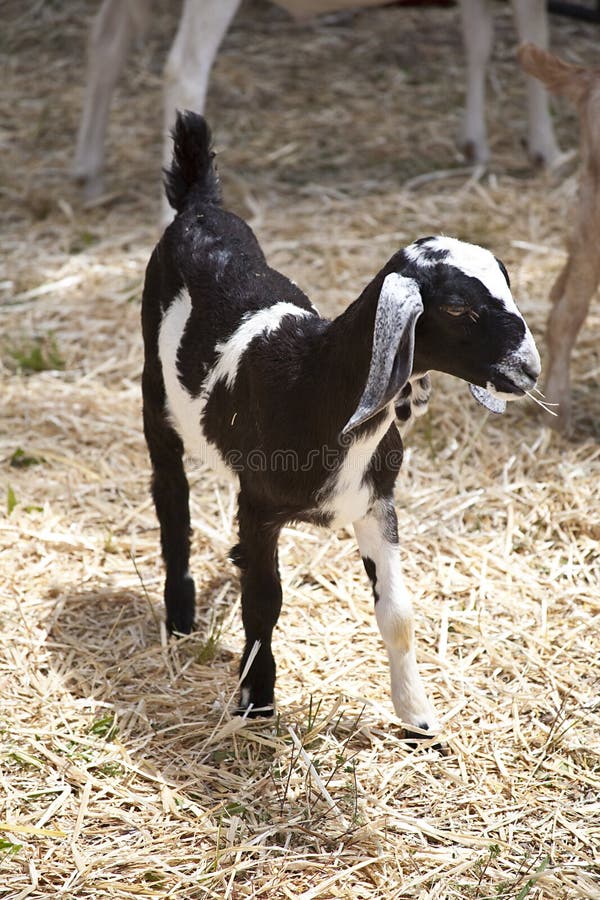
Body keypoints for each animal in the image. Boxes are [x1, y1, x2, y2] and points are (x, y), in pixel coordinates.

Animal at [74, 0, 559, 221]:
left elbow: (478, 37)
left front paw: (475, 143)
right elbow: (533, 39)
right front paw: (546, 149)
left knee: (105, 44)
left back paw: (89, 173)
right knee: (184, 69)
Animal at [141, 111, 541, 736]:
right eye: (457, 307)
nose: (528, 368)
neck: (311, 383)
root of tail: (199, 206)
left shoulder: (377, 501)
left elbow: (398, 612)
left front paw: (418, 718)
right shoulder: (259, 507)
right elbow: (264, 601)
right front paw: (256, 701)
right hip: (154, 400)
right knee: (170, 497)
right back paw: (181, 615)